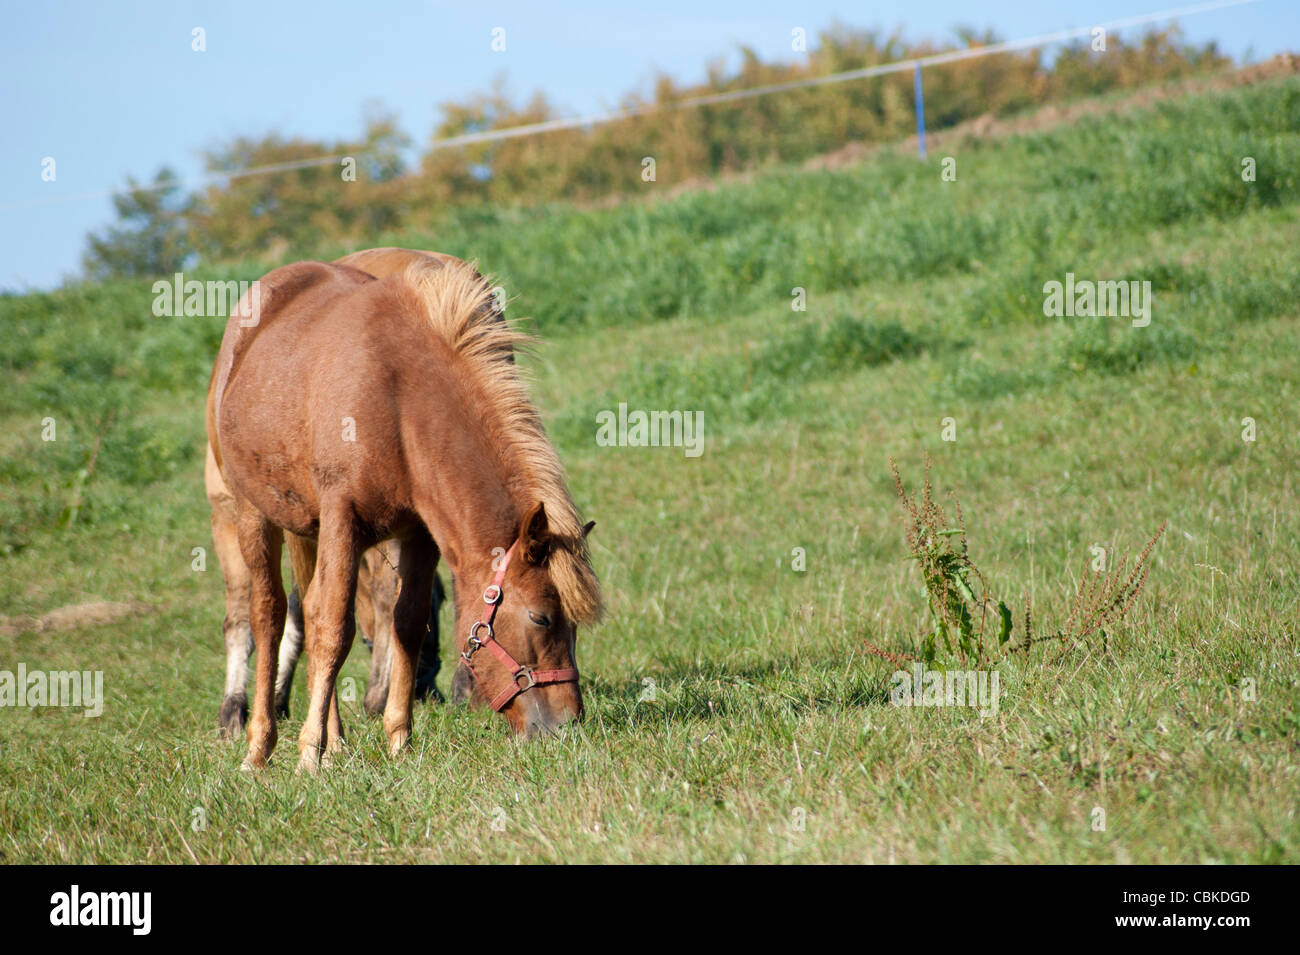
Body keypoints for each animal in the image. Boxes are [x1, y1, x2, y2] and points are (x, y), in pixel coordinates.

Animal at [209, 254, 603, 769]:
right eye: (542, 618)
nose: (568, 724)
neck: (397, 398)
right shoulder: (343, 520)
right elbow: (332, 628)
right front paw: (308, 754)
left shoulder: (418, 532)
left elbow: (407, 624)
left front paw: (398, 741)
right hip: (252, 514)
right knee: (270, 616)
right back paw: (261, 746)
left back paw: (336, 741)